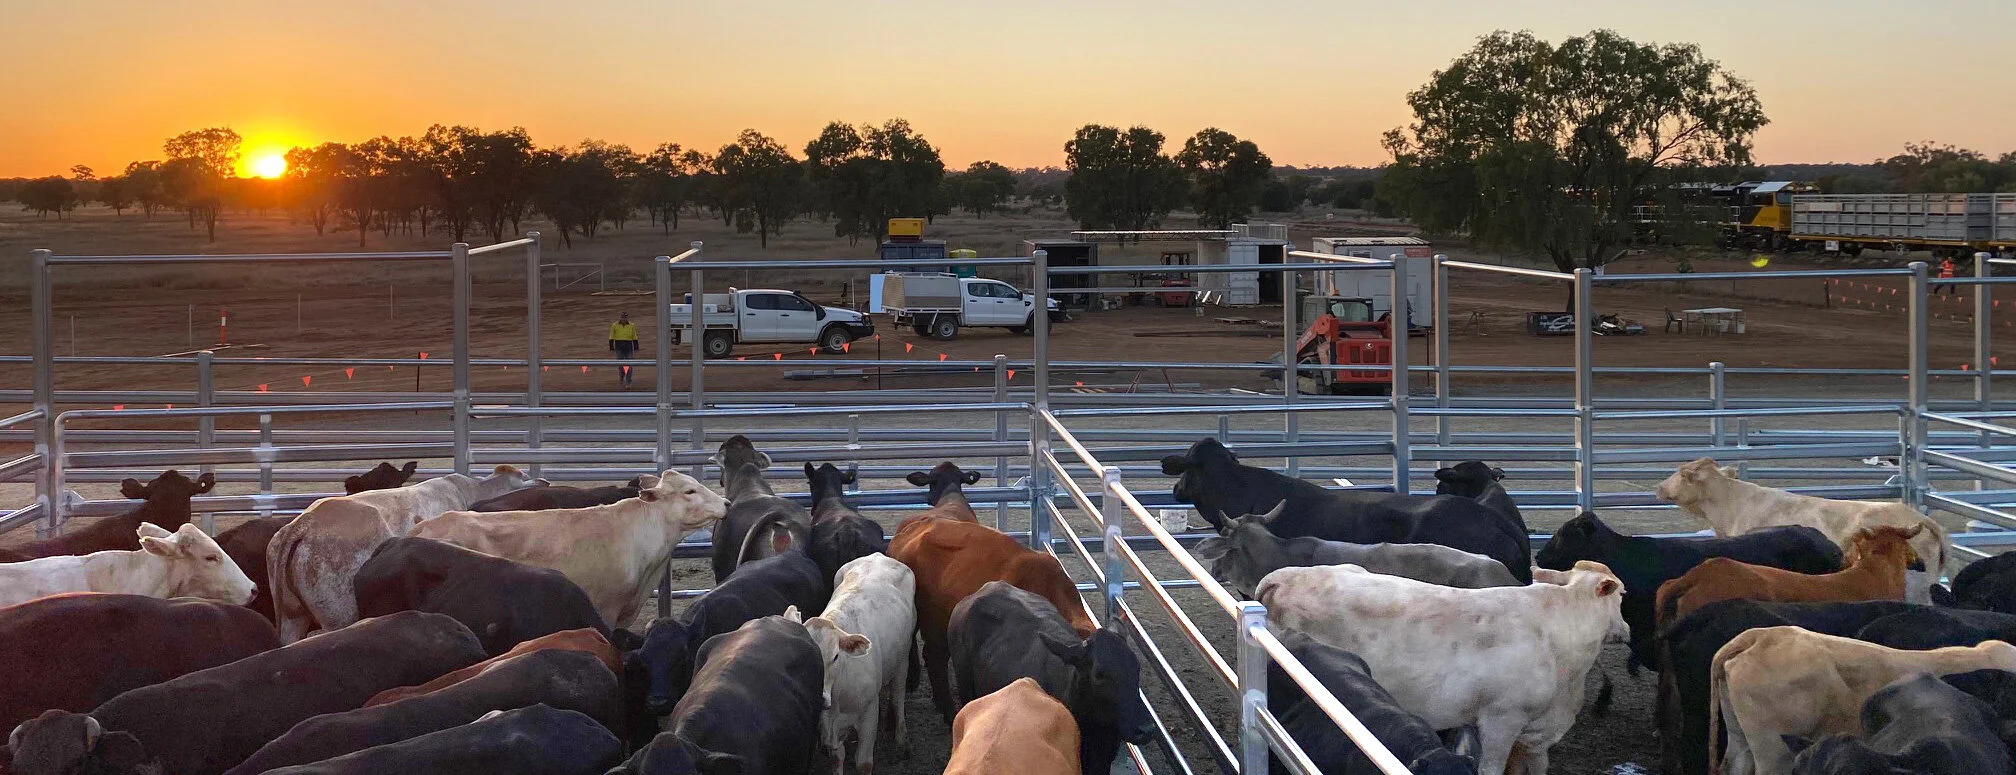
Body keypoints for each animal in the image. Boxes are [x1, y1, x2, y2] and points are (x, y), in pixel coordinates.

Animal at [804, 554, 916, 775]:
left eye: (836, 656)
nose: (819, 696)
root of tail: (878, 556)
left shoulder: (869, 714)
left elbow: (864, 763)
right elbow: (837, 759)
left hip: (903, 658)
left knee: (898, 697)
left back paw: (902, 740)